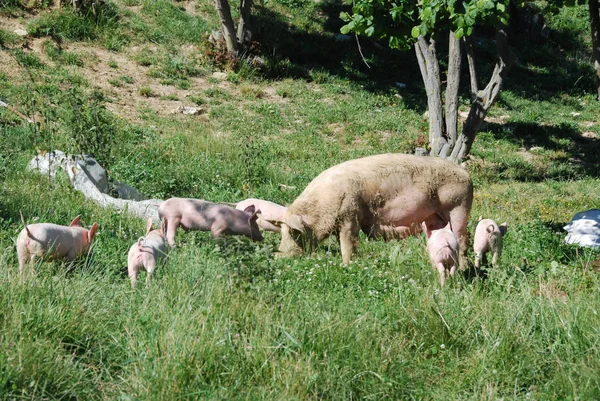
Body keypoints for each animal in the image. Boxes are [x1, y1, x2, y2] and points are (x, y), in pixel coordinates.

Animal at [280, 153, 474, 266]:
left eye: (294, 233)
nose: (279, 255)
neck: (323, 205)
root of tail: (468, 175)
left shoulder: (350, 215)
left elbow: (348, 243)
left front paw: (346, 265)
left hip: (458, 207)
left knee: (462, 239)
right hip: (434, 217)